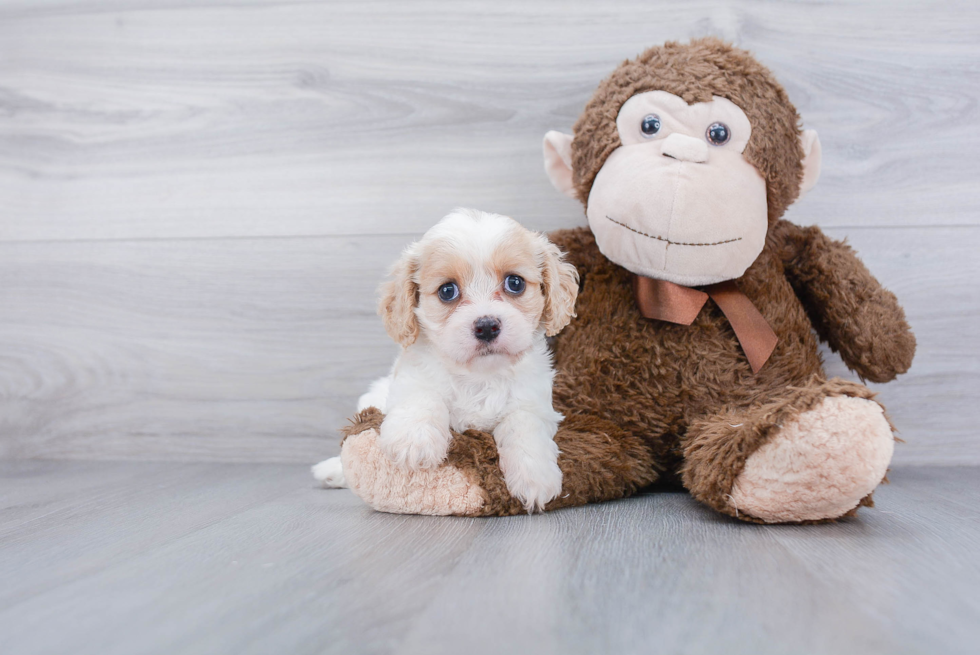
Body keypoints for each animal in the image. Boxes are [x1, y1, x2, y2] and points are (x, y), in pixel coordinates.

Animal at [312, 209, 580, 512]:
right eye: (447, 291)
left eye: (515, 283)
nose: (486, 326)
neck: (478, 376)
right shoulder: (411, 377)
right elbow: (423, 396)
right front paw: (414, 441)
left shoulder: (534, 403)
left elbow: (524, 426)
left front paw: (535, 477)